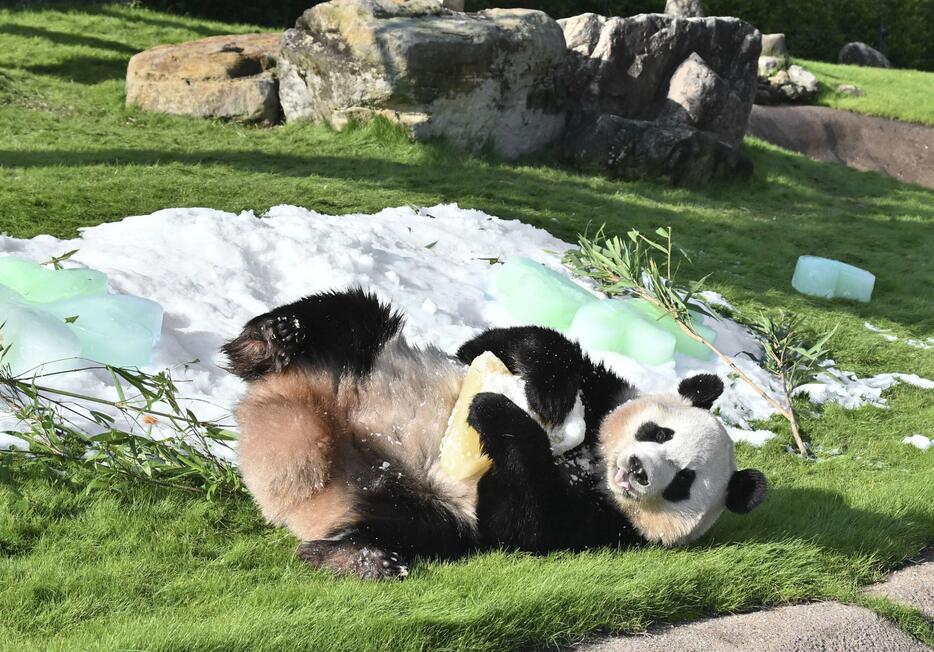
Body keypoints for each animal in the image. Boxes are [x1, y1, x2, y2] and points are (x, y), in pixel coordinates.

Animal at [225, 290, 768, 580]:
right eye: (658, 432)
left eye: (682, 483)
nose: (636, 470)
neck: (589, 462)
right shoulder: (604, 390)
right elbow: (504, 343)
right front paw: (546, 397)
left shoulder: (603, 528)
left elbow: (521, 527)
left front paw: (494, 409)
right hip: (357, 360)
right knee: (351, 318)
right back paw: (271, 339)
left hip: (410, 499)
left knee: (423, 530)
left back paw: (359, 557)